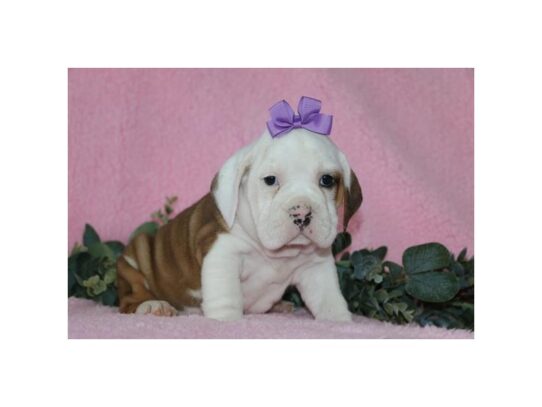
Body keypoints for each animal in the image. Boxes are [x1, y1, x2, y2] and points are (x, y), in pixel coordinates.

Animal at [117, 100, 364, 320]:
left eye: (327, 180)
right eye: (270, 180)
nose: (302, 212)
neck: (279, 254)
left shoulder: (316, 266)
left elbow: (329, 299)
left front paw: (339, 321)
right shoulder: (222, 253)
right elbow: (226, 296)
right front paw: (226, 320)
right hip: (136, 257)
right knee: (130, 299)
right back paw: (153, 305)